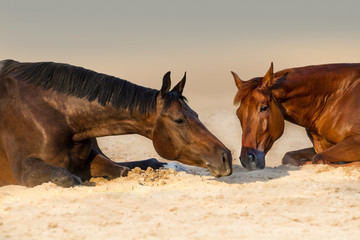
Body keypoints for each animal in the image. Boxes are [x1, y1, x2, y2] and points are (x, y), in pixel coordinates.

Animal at [0, 59, 232, 187]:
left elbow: (127, 169)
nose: (226, 158)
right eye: (179, 120)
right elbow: (66, 176)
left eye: (197, 114)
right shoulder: (24, 170)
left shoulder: (93, 159)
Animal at [231, 62, 360, 170]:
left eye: (263, 108)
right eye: (238, 114)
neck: (335, 98)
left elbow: (318, 158)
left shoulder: (355, 141)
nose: (247, 159)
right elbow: (289, 157)